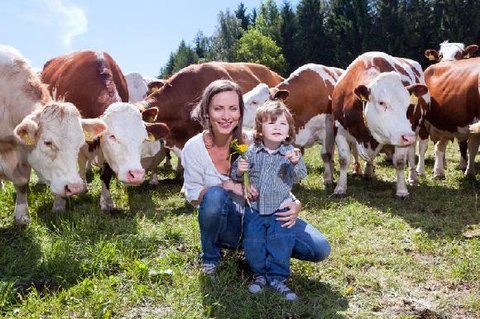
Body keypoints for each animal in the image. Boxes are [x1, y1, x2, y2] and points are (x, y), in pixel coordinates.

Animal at [0, 45, 106, 225]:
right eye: (47, 142)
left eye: (79, 144)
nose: (75, 187)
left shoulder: (22, 150)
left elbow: (22, 181)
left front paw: (23, 214)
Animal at [41, 50, 169, 212]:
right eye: (112, 136)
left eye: (142, 138)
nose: (136, 174)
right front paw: (59, 203)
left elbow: (106, 174)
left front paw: (107, 202)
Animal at [332, 51, 430, 199]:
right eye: (381, 103)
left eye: (409, 104)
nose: (408, 137)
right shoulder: (340, 130)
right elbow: (343, 160)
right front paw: (340, 188)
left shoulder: (401, 137)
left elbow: (400, 162)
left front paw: (402, 191)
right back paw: (367, 172)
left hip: (416, 130)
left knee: (413, 152)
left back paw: (413, 177)